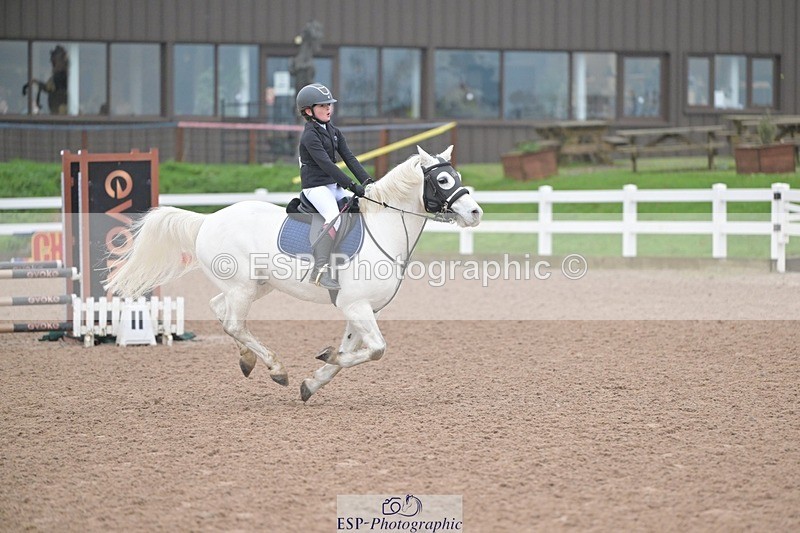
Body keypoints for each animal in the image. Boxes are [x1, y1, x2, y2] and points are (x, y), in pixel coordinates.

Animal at [104, 146, 483, 402]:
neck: (384, 227)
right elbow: (376, 350)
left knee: (219, 310)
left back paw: (248, 361)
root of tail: (209, 219)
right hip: (243, 287)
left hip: (256, 286)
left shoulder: (359, 309)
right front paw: (323, 360)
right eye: (443, 179)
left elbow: (350, 352)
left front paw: (314, 380)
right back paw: (276, 369)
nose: (475, 213)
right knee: (234, 324)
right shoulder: (357, 306)